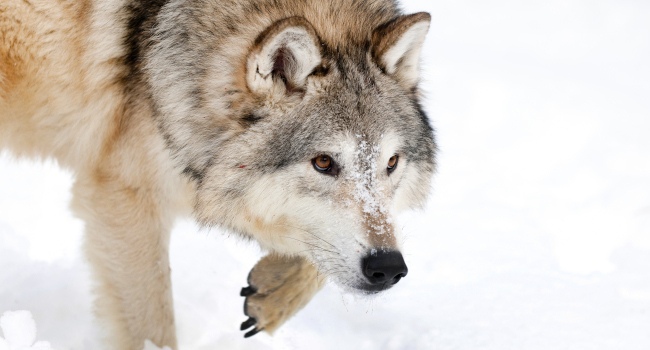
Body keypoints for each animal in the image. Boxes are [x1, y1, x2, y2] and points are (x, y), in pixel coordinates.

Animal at [1, 0, 436, 348]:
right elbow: (152, 323)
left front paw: (272, 294)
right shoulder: (125, 198)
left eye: (391, 163)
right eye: (324, 163)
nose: (389, 269)